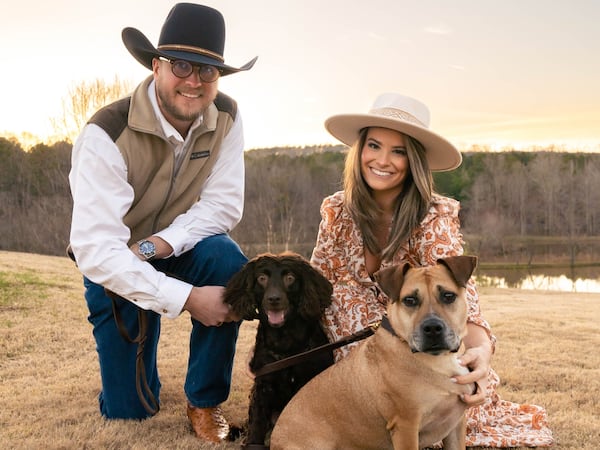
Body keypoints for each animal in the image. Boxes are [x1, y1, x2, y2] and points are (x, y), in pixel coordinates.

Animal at [225, 251, 336, 448]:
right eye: (261, 278)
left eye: (290, 278)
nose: (274, 299)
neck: (285, 343)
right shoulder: (263, 385)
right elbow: (257, 425)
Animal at [272, 256, 478, 450]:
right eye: (409, 300)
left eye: (448, 296)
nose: (433, 328)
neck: (440, 360)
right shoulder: (405, 426)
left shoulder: (456, 425)